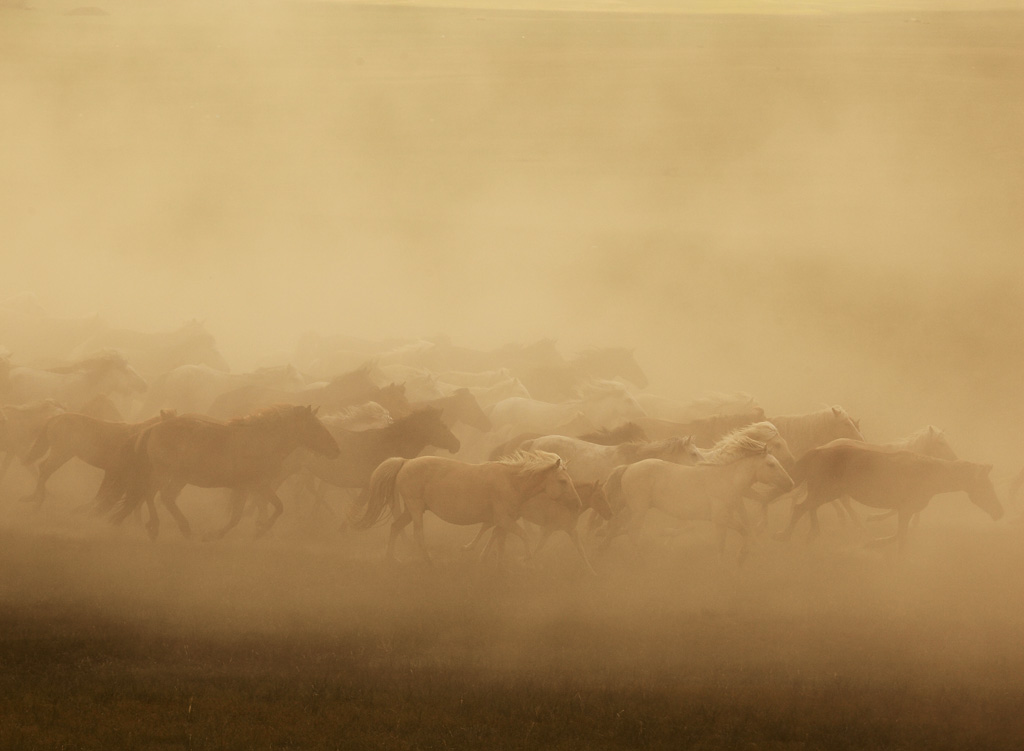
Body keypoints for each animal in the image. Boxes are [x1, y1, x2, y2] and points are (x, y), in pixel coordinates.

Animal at [19, 409, 176, 510]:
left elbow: (104, 493)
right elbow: (105, 494)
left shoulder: (114, 471)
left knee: (43, 468)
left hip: (63, 454)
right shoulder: (116, 471)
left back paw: (32, 498)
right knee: (45, 469)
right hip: (61, 453)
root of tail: (56, 417)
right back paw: (37, 502)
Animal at [111, 403, 339, 540]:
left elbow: (276, 507)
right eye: (314, 426)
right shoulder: (249, 486)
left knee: (162, 497)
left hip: (178, 477)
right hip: (166, 473)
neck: (260, 442)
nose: (335, 449)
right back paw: (161, 527)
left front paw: (259, 530)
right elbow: (238, 516)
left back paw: (177, 528)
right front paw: (214, 535)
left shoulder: (257, 486)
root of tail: (155, 427)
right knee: (152, 495)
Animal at [354, 448, 581, 565]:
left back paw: (392, 559)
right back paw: (428, 561)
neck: (511, 481)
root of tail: (405, 462)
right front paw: (526, 557)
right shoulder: (504, 519)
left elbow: (497, 542)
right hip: (416, 509)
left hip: (411, 510)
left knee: (395, 527)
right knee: (418, 535)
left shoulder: (502, 521)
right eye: (562, 481)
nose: (577, 504)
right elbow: (522, 536)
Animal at [602, 434, 794, 561]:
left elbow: (744, 530)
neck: (726, 479)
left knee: (615, 528)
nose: (790, 483)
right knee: (632, 531)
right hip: (639, 510)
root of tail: (628, 467)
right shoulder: (720, 519)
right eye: (770, 464)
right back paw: (639, 560)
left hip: (628, 508)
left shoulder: (727, 516)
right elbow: (724, 542)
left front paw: (742, 555)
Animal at [774, 436, 999, 553]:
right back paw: (785, 536)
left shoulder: (905, 510)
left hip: (824, 491)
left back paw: (812, 534)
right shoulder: (906, 509)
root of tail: (818, 450)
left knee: (808, 507)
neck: (929, 473)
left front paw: (874, 542)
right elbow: (901, 537)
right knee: (801, 507)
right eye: (986, 486)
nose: (1000, 512)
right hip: (825, 491)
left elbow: (899, 533)